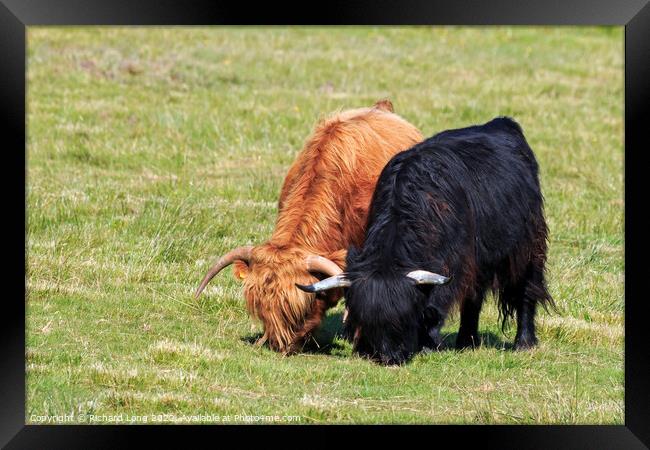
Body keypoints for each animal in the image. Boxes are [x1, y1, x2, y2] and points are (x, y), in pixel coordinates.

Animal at [298, 117, 552, 366]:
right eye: (367, 321)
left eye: (404, 318)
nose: (389, 357)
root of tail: (502, 123)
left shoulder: (452, 263)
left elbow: (436, 305)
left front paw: (428, 344)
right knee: (474, 297)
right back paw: (466, 341)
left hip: (528, 248)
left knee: (526, 290)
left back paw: (524, 342)